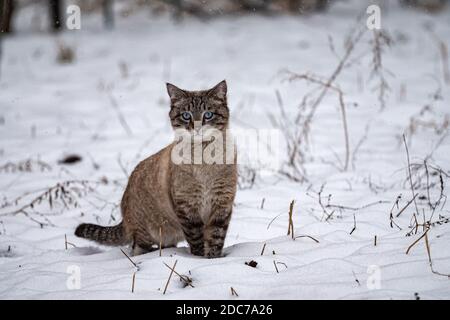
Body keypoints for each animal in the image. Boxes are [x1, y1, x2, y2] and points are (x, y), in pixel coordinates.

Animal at [75, 80, 237, 258]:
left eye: (208, 115)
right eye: (186, 115)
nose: (197, 128)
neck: (203, 157)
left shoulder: (221, 204)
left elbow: (216, 239)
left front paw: (213, 259)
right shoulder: (188, 209)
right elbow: (197, 242)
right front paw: (200, 259)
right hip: (144, 235)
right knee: (137, 249)